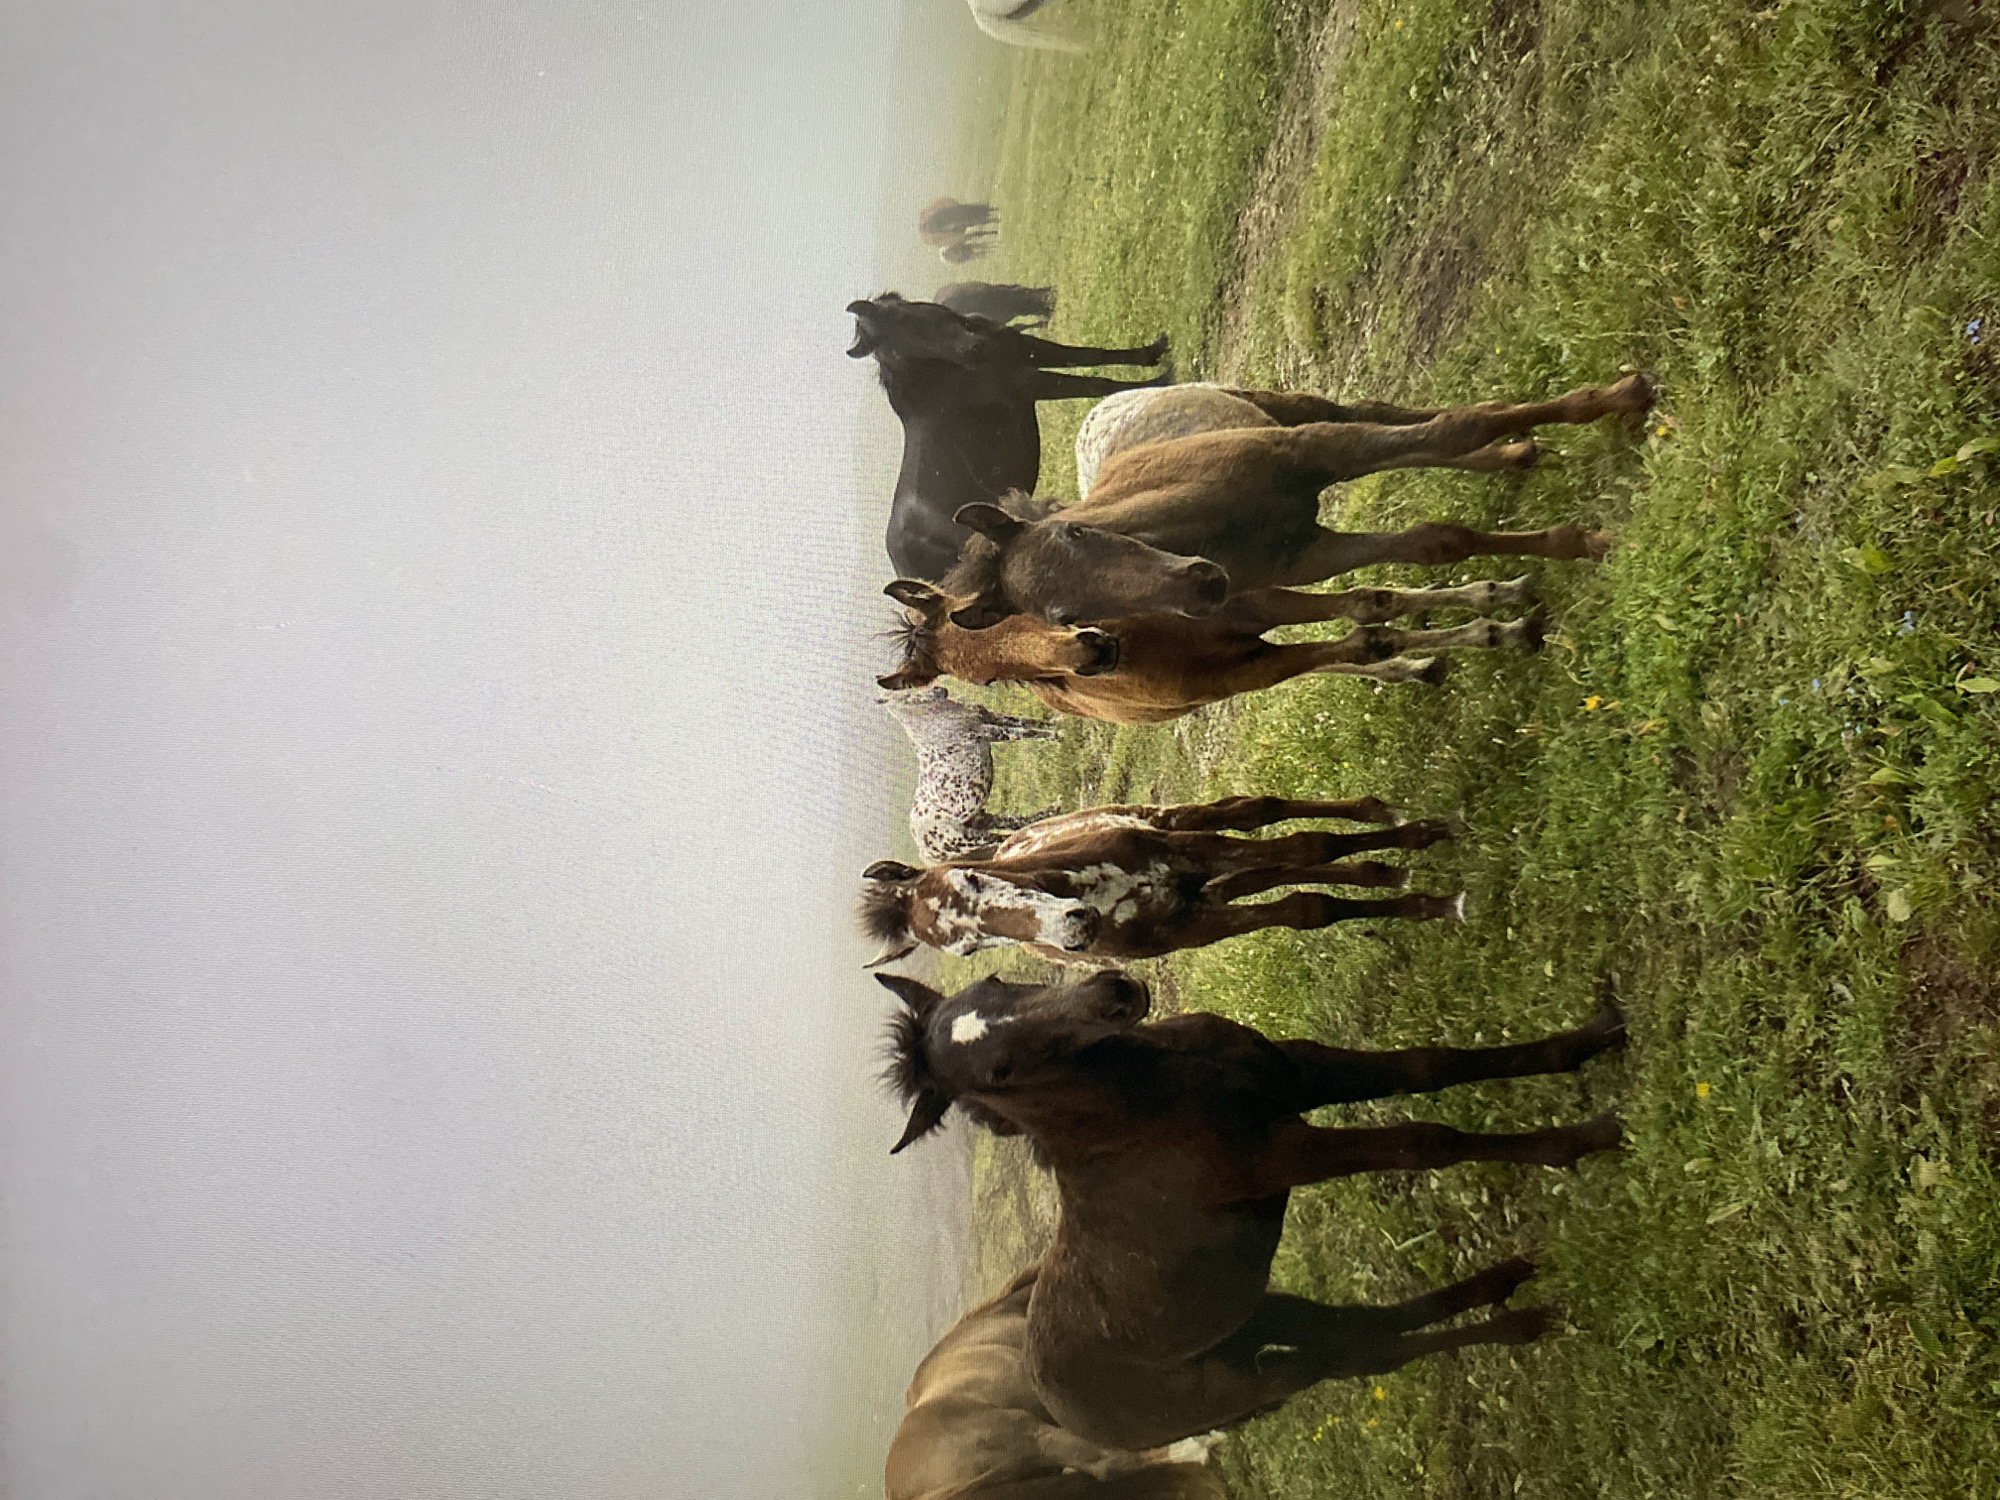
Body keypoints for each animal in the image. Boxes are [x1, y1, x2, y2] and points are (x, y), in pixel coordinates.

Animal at [849, 292, 1170, 582]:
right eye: (895, 351)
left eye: (904, 321)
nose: (973, 350)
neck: (950, 374)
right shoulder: (1027, 381)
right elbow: (1098, 384)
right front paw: (1163, 381)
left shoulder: (1026, 348)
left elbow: (1090, 355)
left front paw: (1155, 351)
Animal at [857, 795, 1463, 967]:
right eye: (968, 948)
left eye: (972, 880)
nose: (1073, 930)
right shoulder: (1194, 923)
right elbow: (1306, 907)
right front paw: (1417, 894)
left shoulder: (1188, 852)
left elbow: (1308, 847)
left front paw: (1424, 868)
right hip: (1209, 888)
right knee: (1271, 873)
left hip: (1175, 824)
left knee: (1261, 814)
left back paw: (1387, 817)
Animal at [878, 966, 1627, 1450]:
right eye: (999, 1073)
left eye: (997, 982)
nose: (1115, 992)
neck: (1151, 1099)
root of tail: (1069, 1415)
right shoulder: (1283, 1154)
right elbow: (1426, 1141)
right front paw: (1586, 1139)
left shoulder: (1300, 1071)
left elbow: (1431, 1064)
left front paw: (1598, 1033)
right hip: (1248, 1381)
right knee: (1353, 1356)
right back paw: (1524, 1317)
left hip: (1255, 1314)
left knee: (1357, 1333)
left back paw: (1514, 1287)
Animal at [880, 685, 1061, 862]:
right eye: (906, 697)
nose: (941, 690)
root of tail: (925, 851)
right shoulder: (991, 731)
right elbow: (1029, 732)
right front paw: (1058, 735)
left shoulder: (991, 718)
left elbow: (1029, 723)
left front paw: (1057, 723)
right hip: (974, 839)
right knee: (1006, 838)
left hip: (980, 821)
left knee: (1016, 823)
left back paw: (1054, 810)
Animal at [939, 373, 1656, 629]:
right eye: (1068, 619)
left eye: (1076, 533)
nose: (1203, 586)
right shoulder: (1310, 553)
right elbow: (1436, 541)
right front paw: (1575, 543)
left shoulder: (1315, 448)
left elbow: (1459, 425)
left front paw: (1622, 396)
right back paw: (1514, 455)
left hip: (1283, 407)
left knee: (1381, 411)